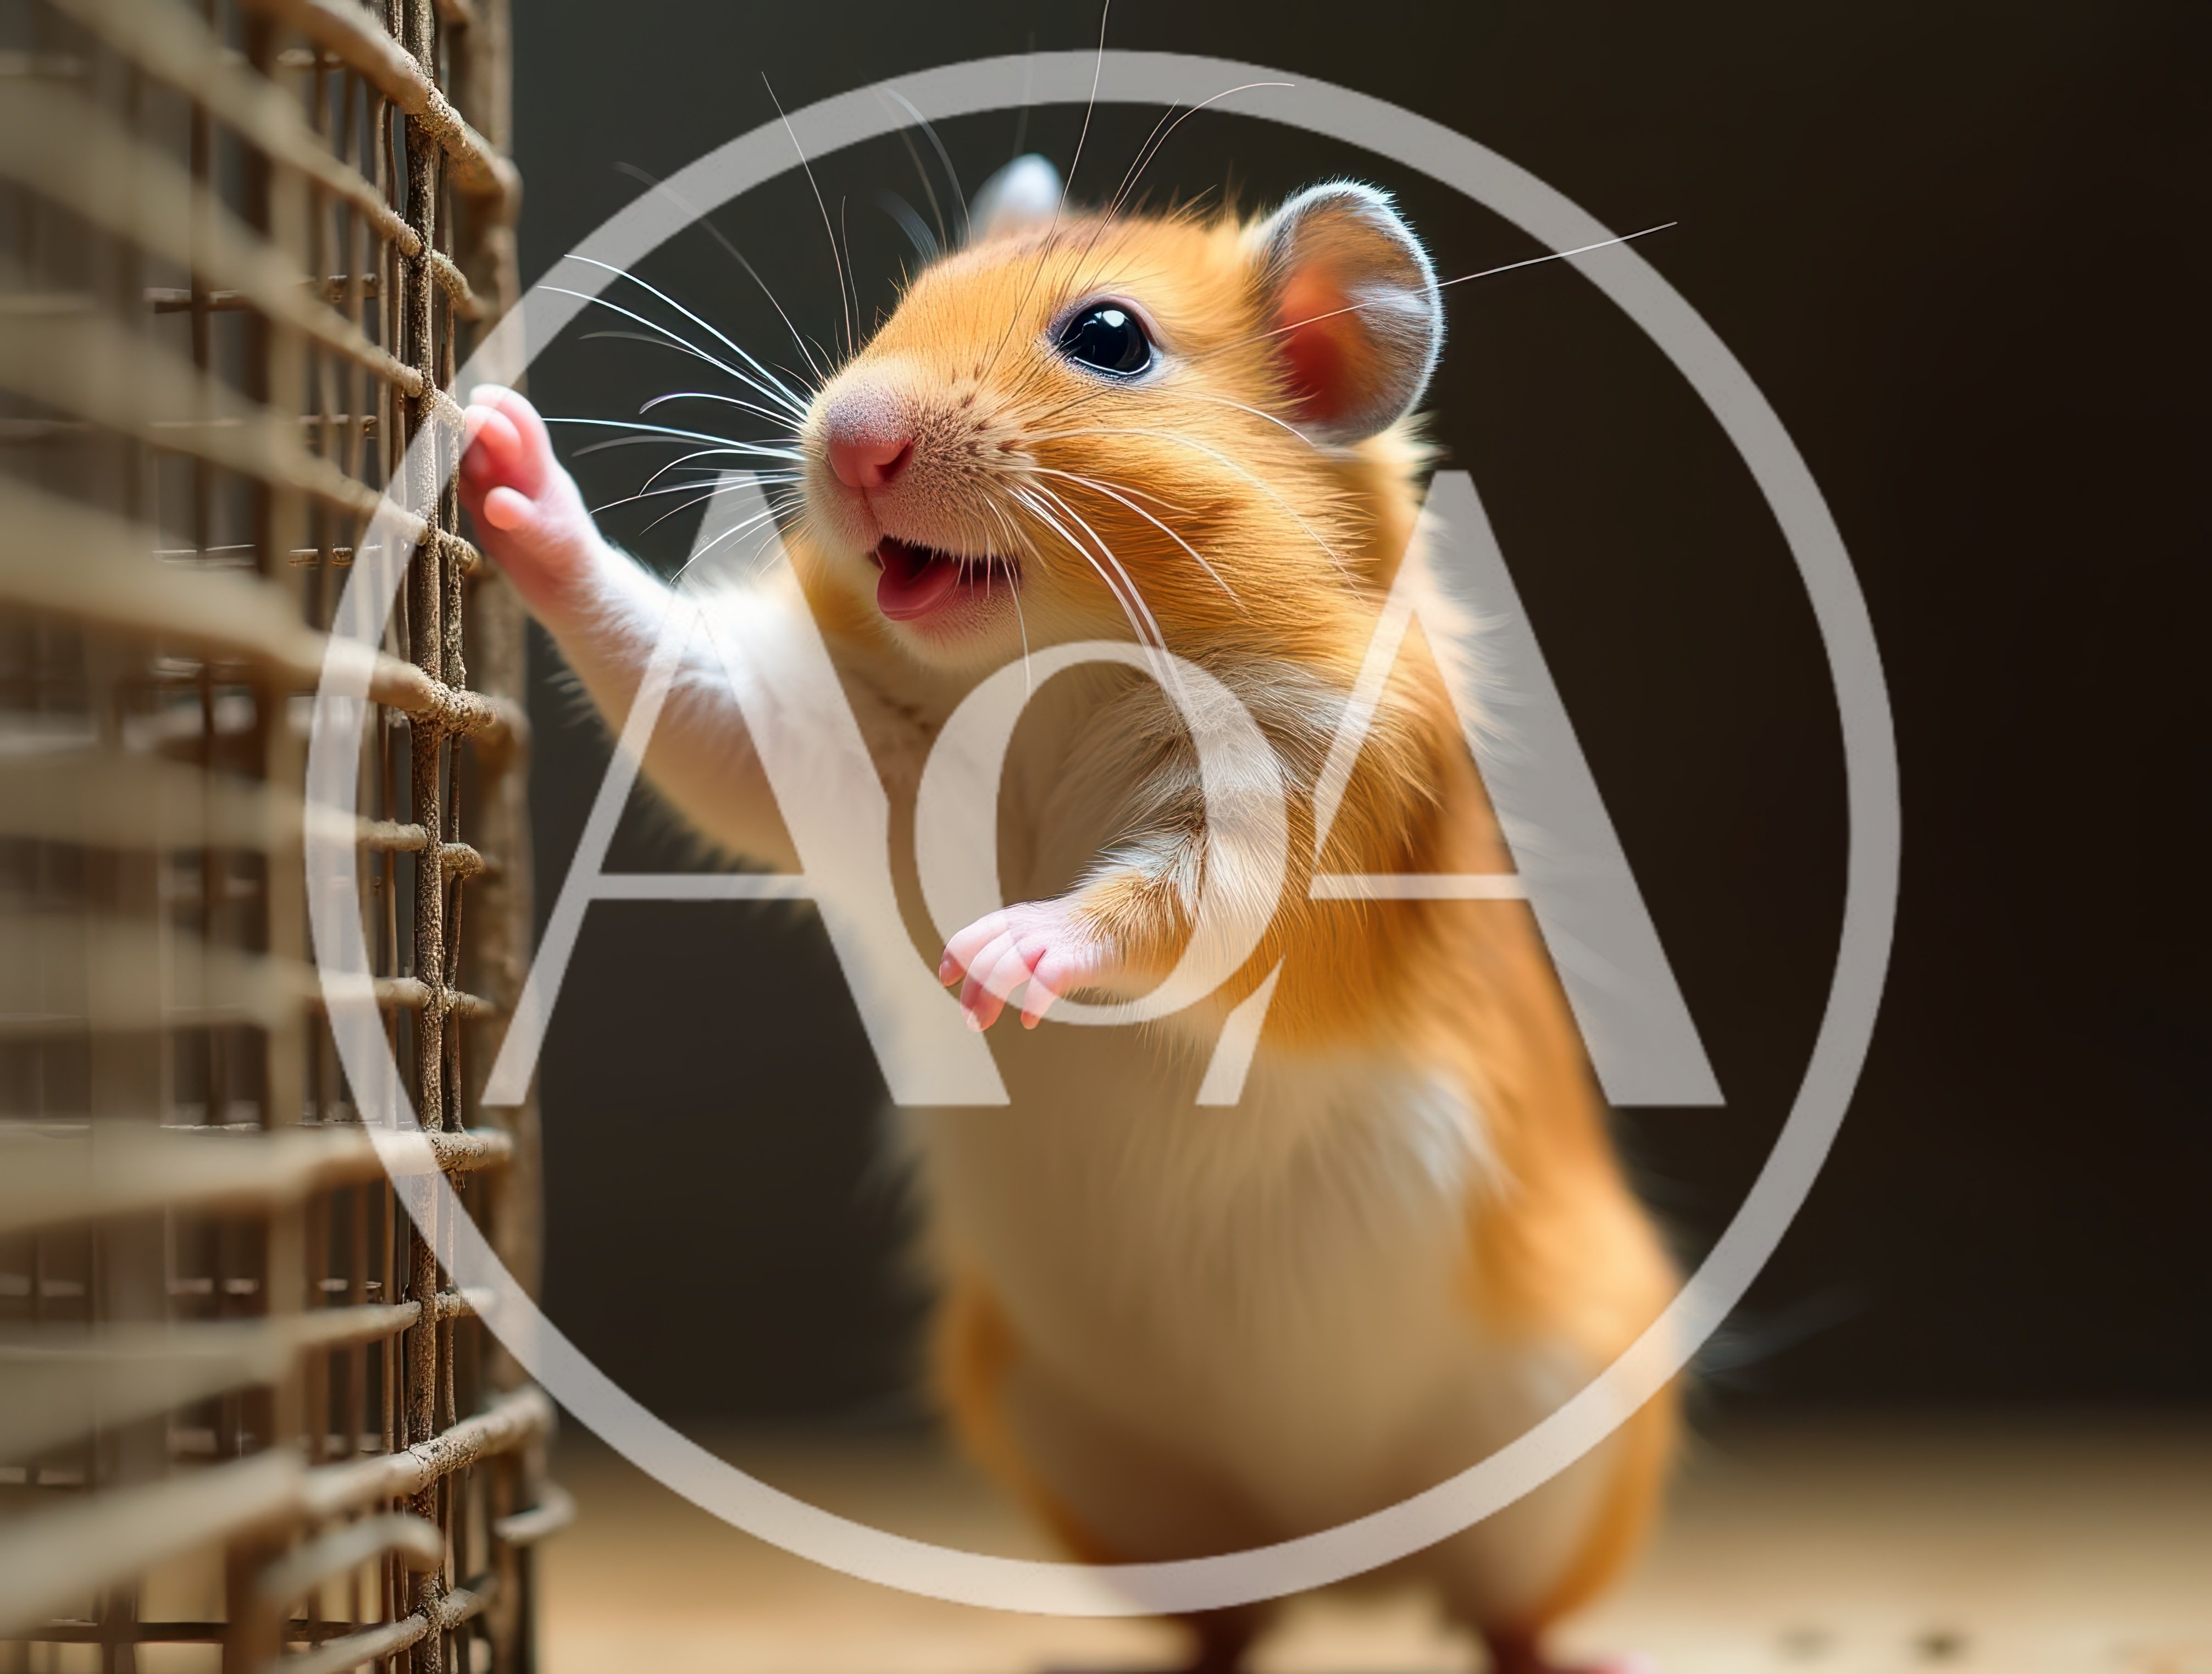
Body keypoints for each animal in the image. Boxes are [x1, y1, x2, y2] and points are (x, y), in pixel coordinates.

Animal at [460, 158, 1677, 1674]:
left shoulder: (1287, 809)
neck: (1055, 665)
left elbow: (1161, 901)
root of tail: (1343, 1553)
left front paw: (999, 958)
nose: (847, 440)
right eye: (909, 298)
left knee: (1506, 1610)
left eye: (1109, 338)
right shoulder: (813, 734)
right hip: (1104, 1471)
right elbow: (675, 677)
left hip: (1557, 1444)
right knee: (1230, 1626)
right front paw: (494, 452)